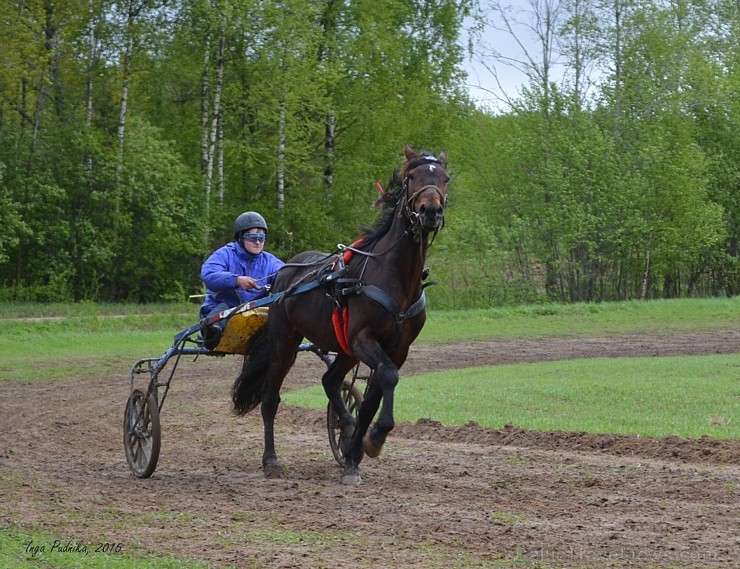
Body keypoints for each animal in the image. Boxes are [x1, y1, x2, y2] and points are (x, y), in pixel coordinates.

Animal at [231, 145, 450, 484]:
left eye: (444, 178)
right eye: (412, 176)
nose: (430, 211)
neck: (394, 277)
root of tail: (285, 272)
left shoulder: (396, 348)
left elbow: (374, 395)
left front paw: (355, 452)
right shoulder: (363, 339)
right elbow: (388, 376)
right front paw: (375, 437)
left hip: (344, 349)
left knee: (330, 381)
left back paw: (346, 429)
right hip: (286, 342)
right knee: (271, 398)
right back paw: (271, 460)